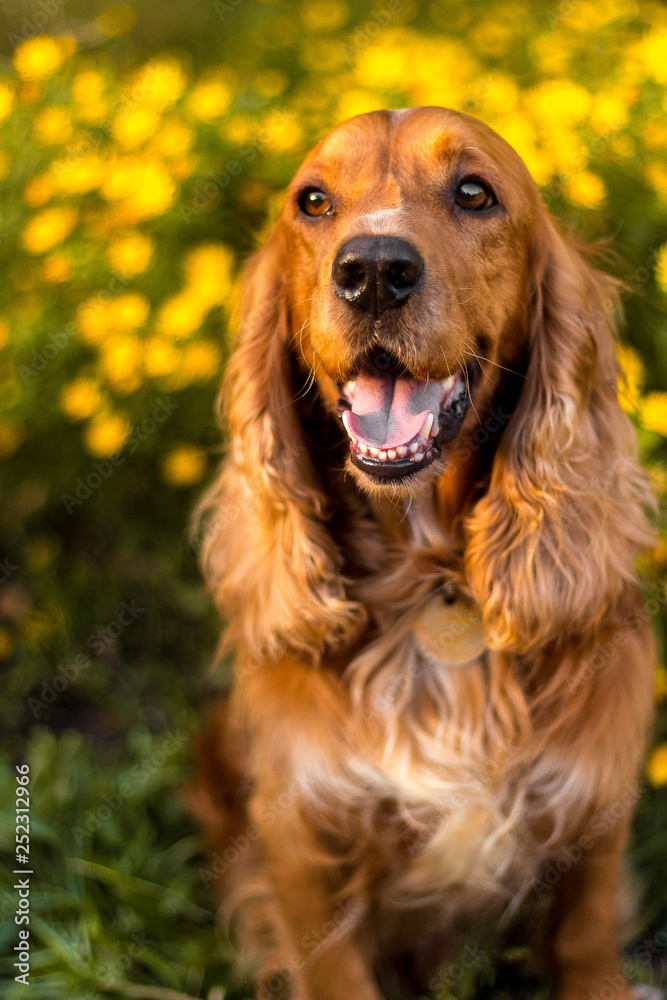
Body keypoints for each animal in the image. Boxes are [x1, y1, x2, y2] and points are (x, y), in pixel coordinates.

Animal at [189, 107, 656, 1000]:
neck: (426, 579)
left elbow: (584, 944)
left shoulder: (592, 804)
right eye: (312, 201)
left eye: (474, 193)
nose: (373, 270)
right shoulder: (304, 840)